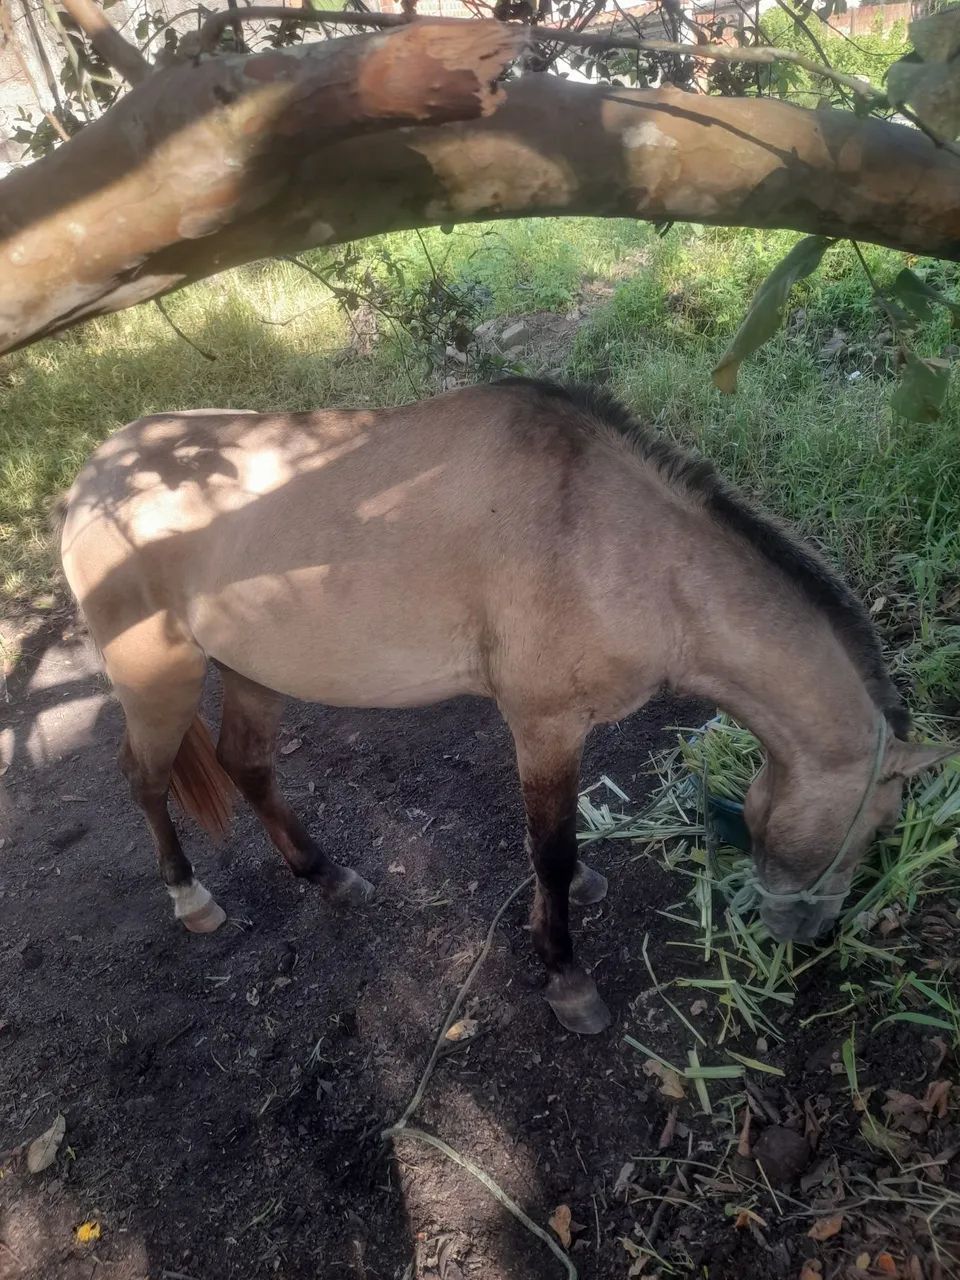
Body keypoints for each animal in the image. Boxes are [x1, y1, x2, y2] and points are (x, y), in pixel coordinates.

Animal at [59, 378, 955, 1035]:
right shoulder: (543, 725)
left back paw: (329, 876)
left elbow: (555, 846)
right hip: (159, 678)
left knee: (246, 766)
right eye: (878, 822)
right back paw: (190, 898)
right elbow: (550, 848)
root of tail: (94, 474)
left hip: (254, 670)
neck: (625, 551)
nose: (808, 935)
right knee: (144, 779)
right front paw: (566, 978)